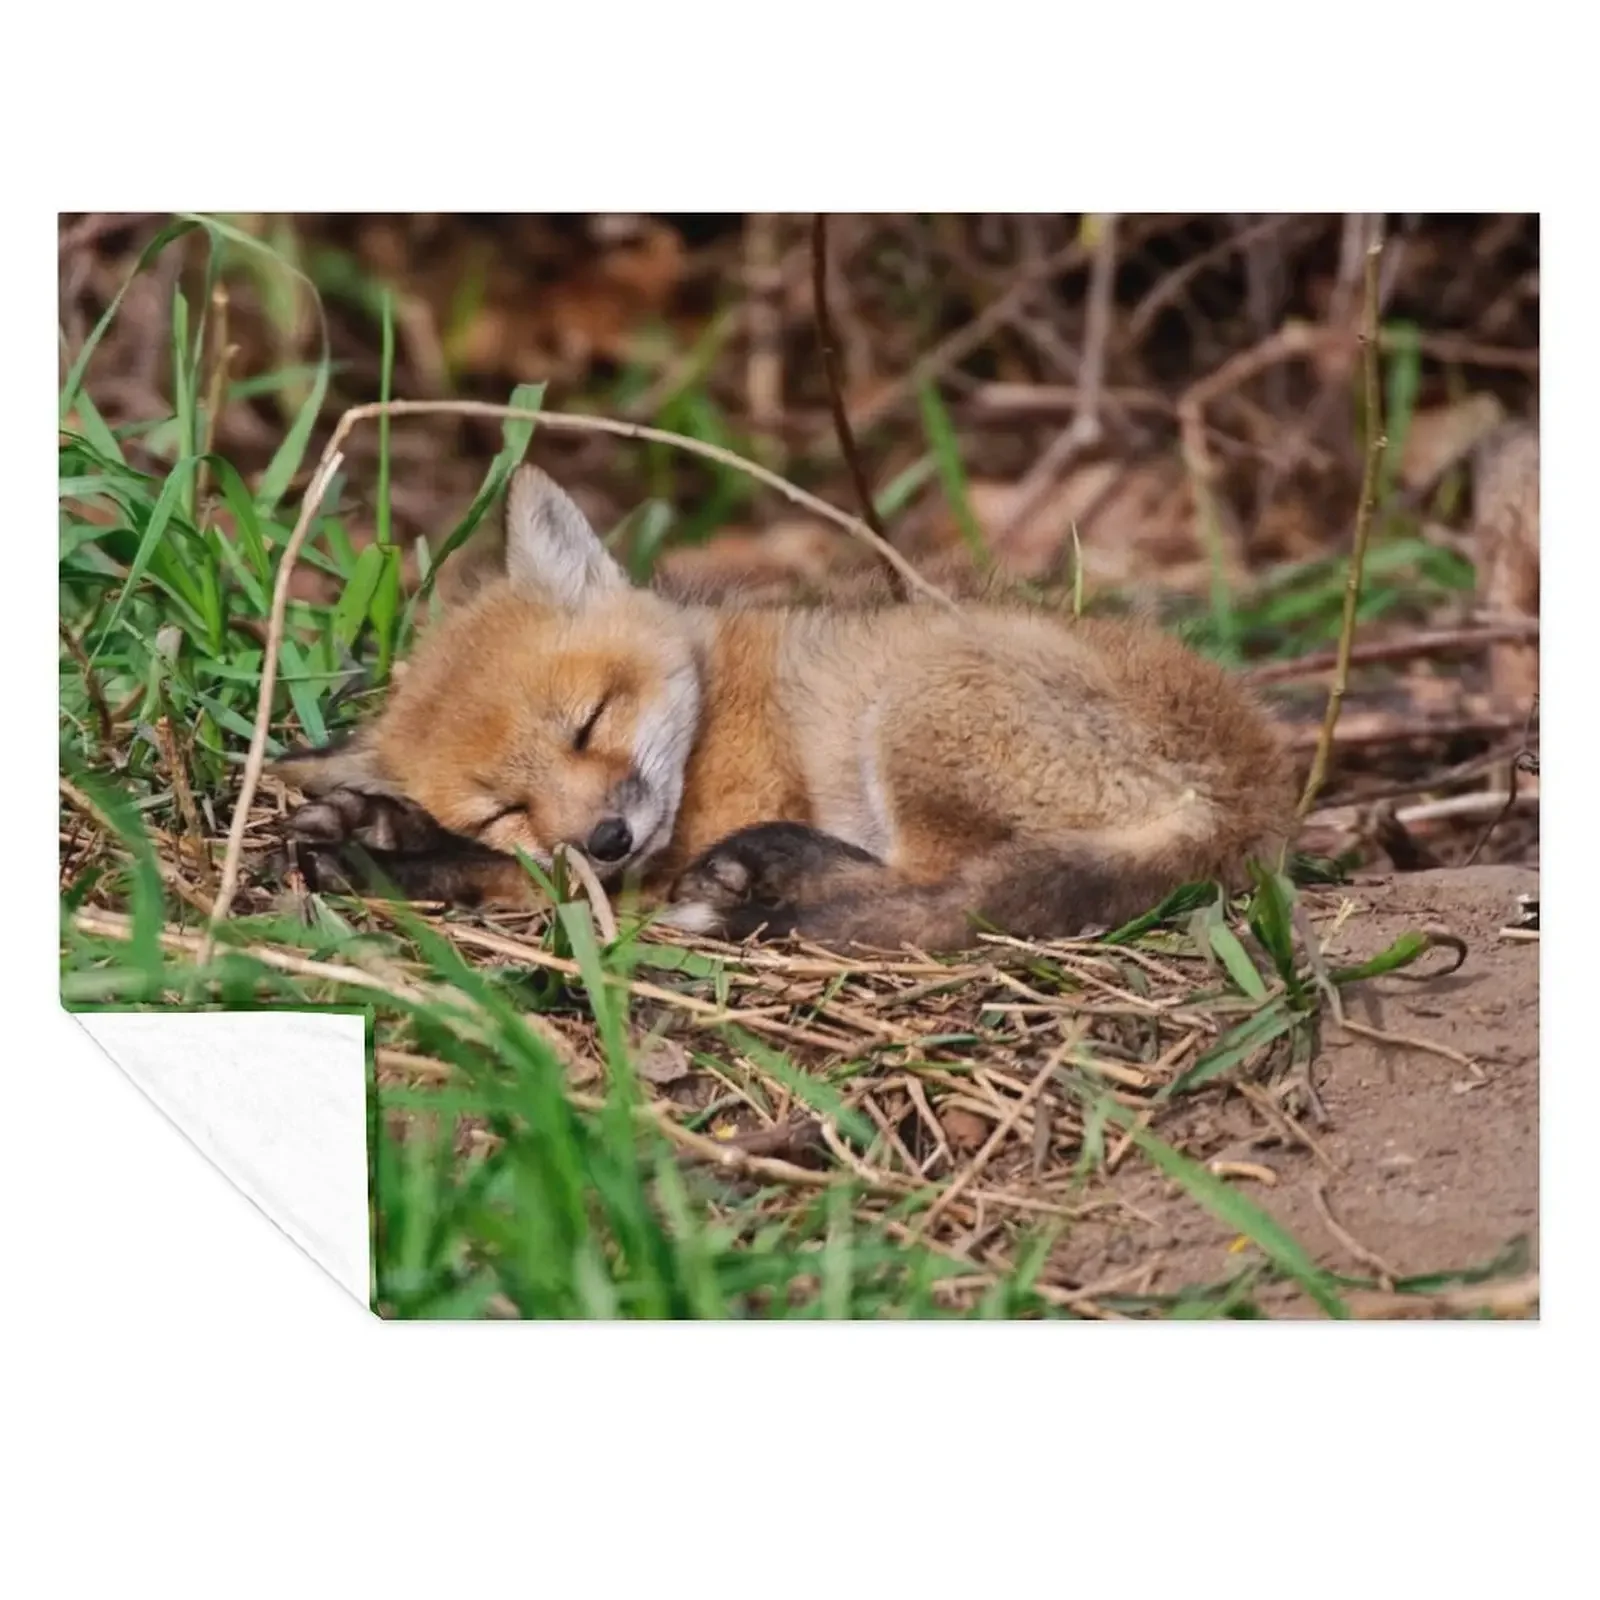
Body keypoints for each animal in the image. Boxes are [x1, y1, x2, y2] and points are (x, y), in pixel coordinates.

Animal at [271, 465, 1299, 952]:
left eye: (589, 722)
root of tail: (1250, 794)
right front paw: (372, 824)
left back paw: (766, 889)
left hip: (915, 713)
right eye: (504, 806)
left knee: (935, 897)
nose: (606, 836)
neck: (720, 680)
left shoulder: (689, 833)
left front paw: (393, 858)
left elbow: (531, 882)